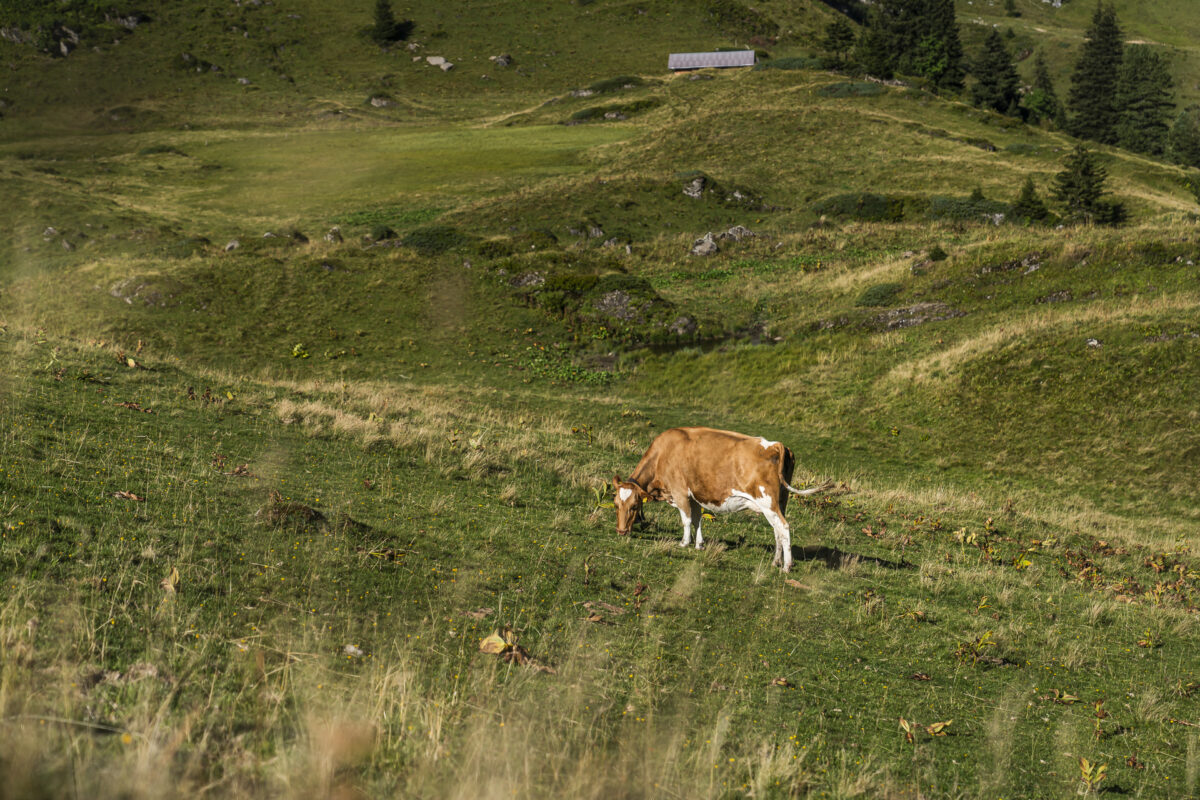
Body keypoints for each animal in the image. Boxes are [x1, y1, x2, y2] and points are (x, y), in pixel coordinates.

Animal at [614, 429, 830, 573]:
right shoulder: (695, 495)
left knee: (783, 528)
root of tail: (777, 444)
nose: (621, 531)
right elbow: (697, 520)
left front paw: (684, 543)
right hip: (780, 502)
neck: (663, 453)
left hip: (768, 502)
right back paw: (776, 561)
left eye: (635, 506)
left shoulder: (679, 492)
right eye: (616, 505)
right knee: (777, 530)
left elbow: (686, 520)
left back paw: (786, 566)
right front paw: (699, 544)